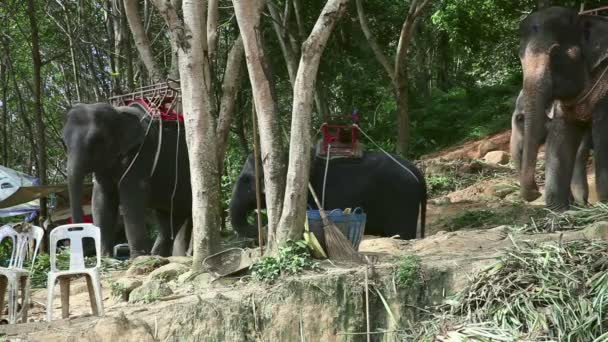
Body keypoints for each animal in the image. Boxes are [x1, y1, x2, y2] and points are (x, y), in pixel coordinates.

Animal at [62, 103, 191, 258]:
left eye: (95, 141)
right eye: (64, 143)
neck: (119, 113)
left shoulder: (142, 155)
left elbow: (132, 197)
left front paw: (138, 258)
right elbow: (101, 200)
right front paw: (105, 257)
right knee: (169, 219)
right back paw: (157, 256)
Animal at [516, 7, 608, 211]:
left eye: (555, 52)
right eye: (520, 57)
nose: (535, 192)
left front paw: (604, 205)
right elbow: (559, 139)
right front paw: (558, 210)